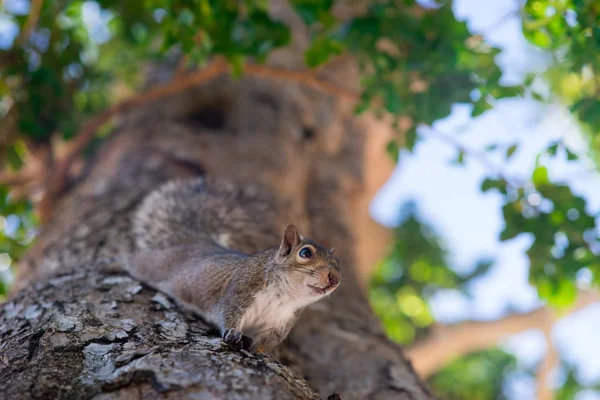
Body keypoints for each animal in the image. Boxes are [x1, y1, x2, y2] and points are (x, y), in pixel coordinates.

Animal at [125, 178, 342, 354]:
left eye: (339, 263)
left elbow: (268, 341)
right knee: (137, 261)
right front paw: (232, 334)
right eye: (305, 253)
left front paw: (260, 353)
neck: (284, 294)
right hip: (158, 265)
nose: (335, 279)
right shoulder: (242, 288)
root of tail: (199, 241)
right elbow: (229, 311)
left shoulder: (283, 320)